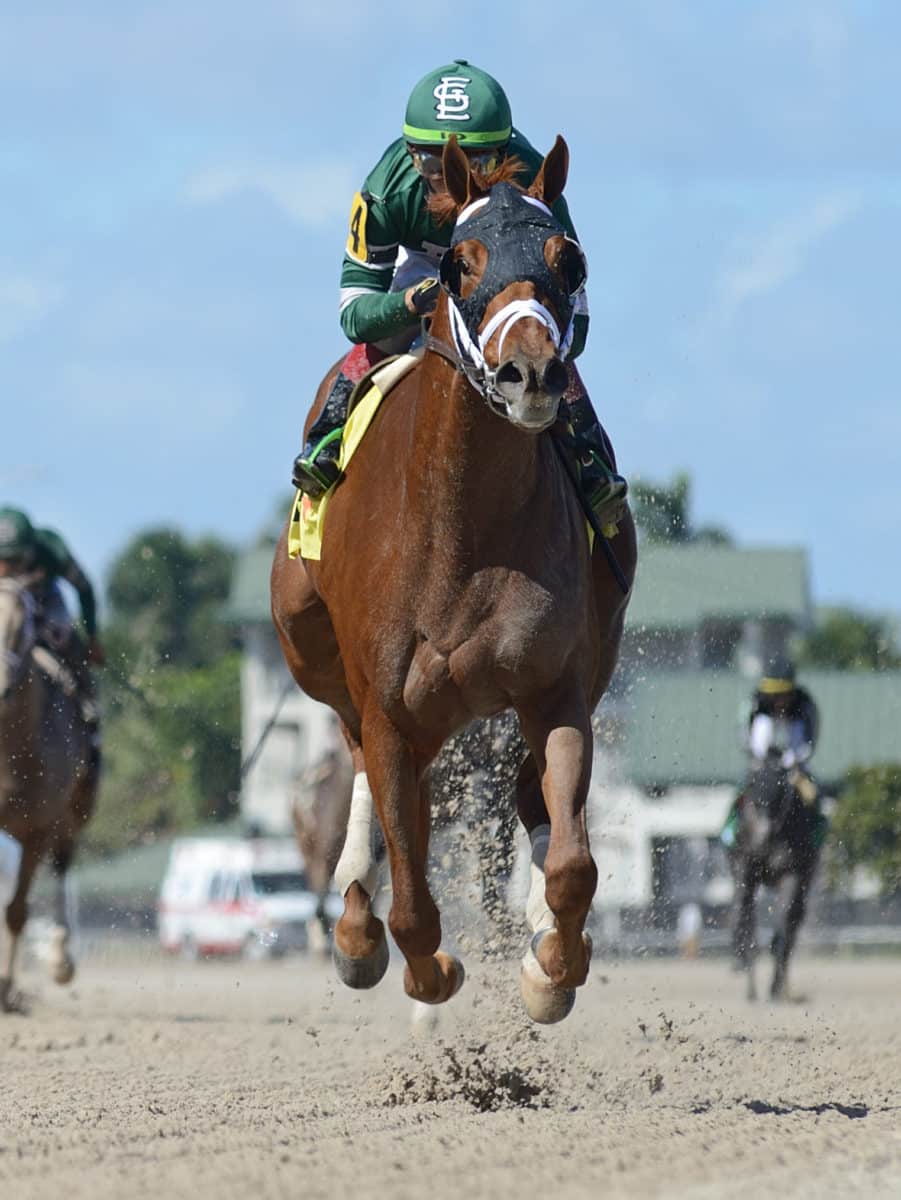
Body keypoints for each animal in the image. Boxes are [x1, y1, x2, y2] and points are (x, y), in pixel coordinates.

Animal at [271, 138, 638, 1022]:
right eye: (458, 265)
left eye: (567, 258)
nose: (528, 374)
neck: (463, 530)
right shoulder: (390, 707)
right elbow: (411, 901)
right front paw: (422, 967)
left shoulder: (554, 689)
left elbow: (572, 863)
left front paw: (550, 966)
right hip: (311, 648)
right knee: (356, 764)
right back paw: (355, 924)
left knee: (531, 806)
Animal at [734, 758, 825, 1003]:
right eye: (753, 792)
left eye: (780, 793)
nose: (761, 838)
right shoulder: (746, 874)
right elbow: (747, 926)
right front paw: (751, 990)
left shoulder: (791, 874)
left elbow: (784, 928)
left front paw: (774, 988)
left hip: (804, 880)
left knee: (792, 924)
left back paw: (779, 987)